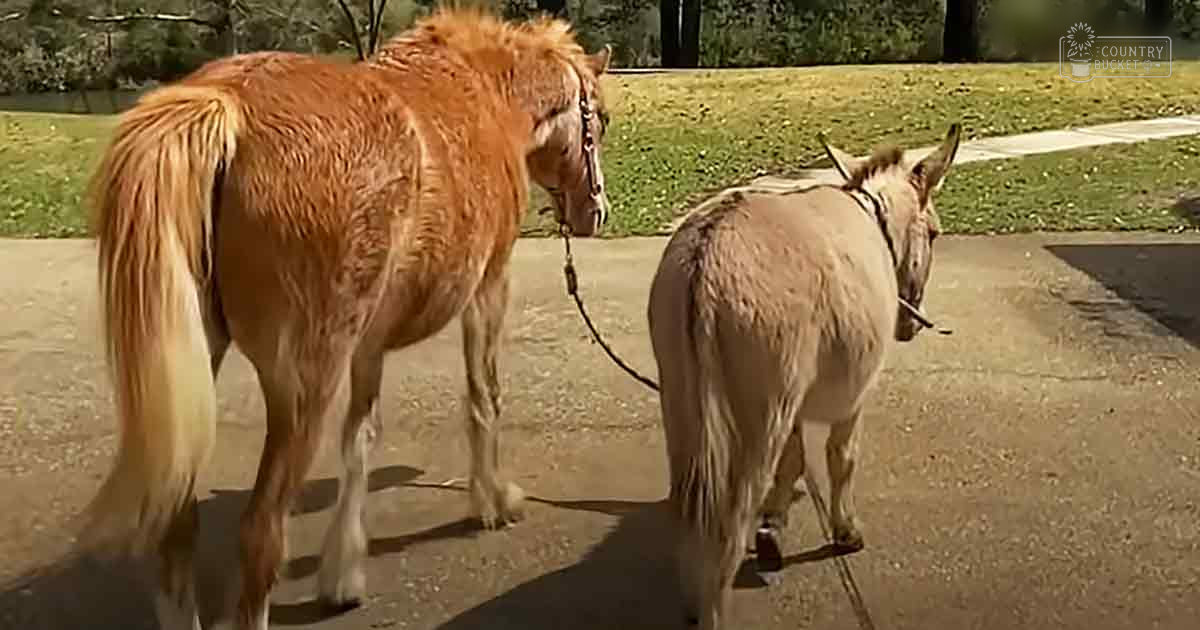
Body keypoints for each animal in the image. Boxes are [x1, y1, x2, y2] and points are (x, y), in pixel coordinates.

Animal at [78, 8, 614, 630]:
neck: (485, 95)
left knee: (176, 534)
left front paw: (342, 573)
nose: (596, 211)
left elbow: (361, 438)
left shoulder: (368, 342)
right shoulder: (488, 288)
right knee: (261, 537)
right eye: (599, 119)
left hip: (200, 365)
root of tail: (225, 105)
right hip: (303, 387)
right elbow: (484, 396)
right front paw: (494, 501)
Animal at [646, 124, 962, 629]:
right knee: (726, 531)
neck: (873, 219)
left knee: (688, 511)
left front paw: (774, 528)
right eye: (934, 233)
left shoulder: (793, 396)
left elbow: (793, 461)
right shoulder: (853, 393)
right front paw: (845, 531)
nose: (910, 325)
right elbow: (841, 458)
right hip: (754, 420)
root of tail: (707, 256)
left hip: (682, 401)